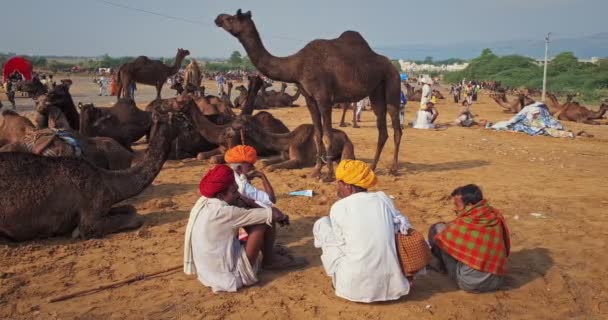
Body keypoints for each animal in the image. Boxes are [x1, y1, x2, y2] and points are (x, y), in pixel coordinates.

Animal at [0, 111, 188, 241]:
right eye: (178, 118)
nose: (189, 123)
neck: (107, 182)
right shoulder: (91, 220)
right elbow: (136, 217)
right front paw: (75, 233)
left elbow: (131, 208)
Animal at [216, 9, 402, 178]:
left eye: (232, 18)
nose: (218, 18)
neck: (296, 66)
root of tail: (392, 66)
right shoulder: (310, 99)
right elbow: (318, 135)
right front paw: (316, 171)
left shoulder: (324, 98)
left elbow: (327, 135)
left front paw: (328, 175)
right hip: (376, 91)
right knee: (382, 129)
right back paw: (373, 167)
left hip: (393, 82)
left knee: (396, 127)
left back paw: (393, 169)